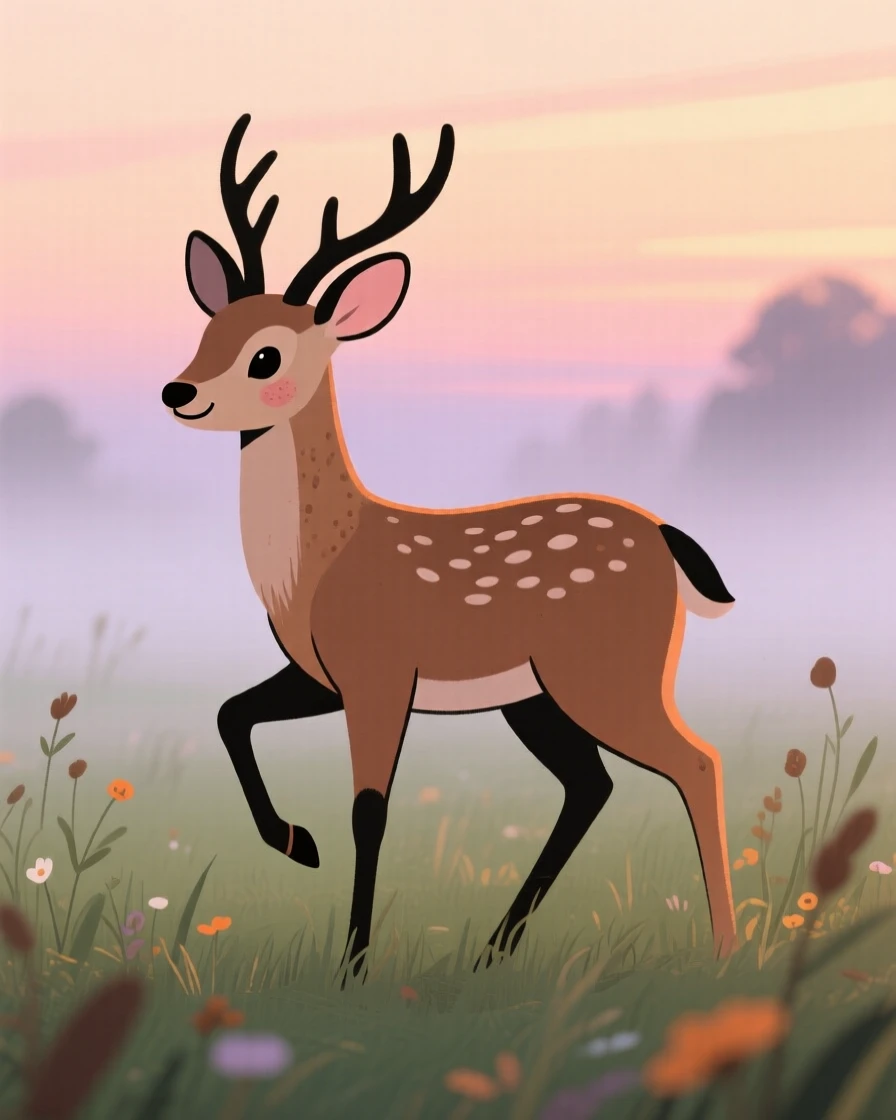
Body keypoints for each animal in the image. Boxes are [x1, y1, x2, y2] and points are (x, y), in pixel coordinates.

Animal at [161, 113, 739, 978]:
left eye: (267, 354)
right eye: (210, 326)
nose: (178, 391)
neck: (318, 567)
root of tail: (668, 539)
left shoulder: (379, 665)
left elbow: (370, 808)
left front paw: (352, 963)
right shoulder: (322, 671)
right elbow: (233, 712)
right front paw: (298, 844)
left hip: (608, 672)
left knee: (696, 761)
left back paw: (729, 949)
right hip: (537, 695)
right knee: (592, 785)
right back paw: (494, 950)